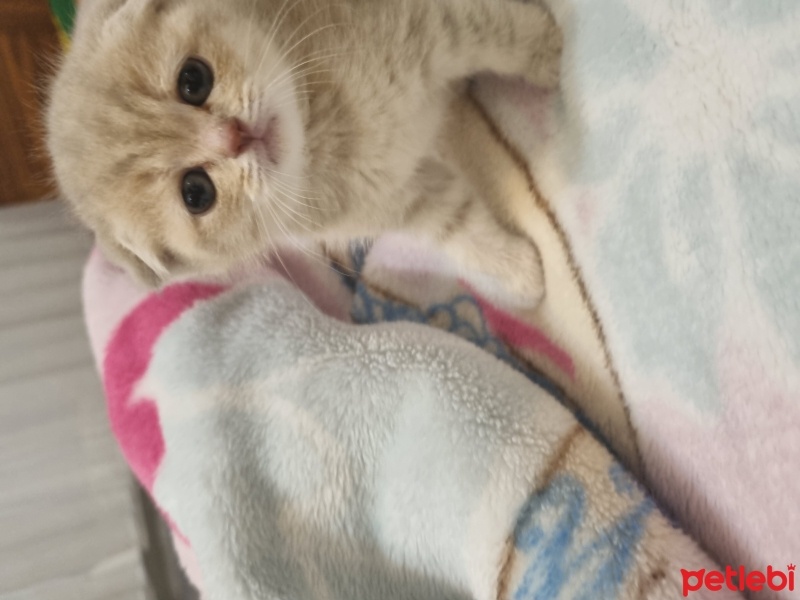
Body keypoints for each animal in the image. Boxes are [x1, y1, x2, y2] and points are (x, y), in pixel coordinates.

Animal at [48, 0, 564, 308]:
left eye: (193, 79)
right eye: (196, 193)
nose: (236, 137)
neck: (321, 127)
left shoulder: (437, 23)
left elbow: (505, 35)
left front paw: (559, 59)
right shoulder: (396, 198)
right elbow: (455, 224)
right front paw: (518, 270)